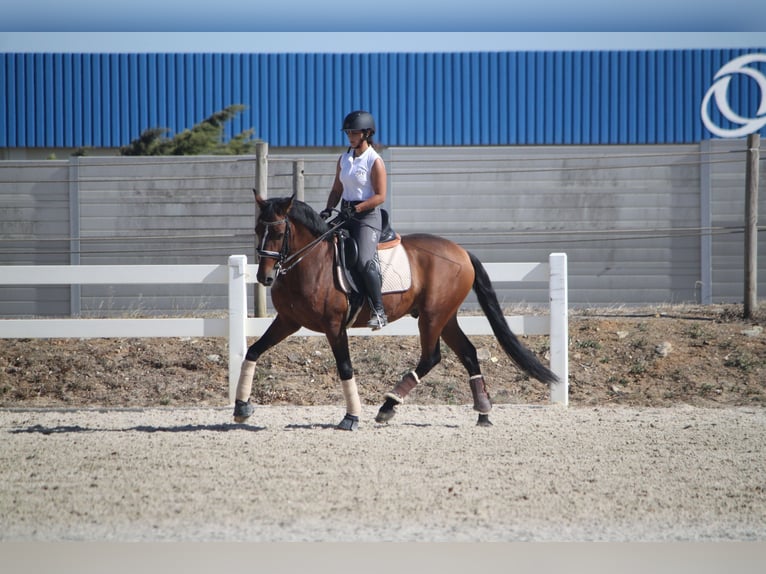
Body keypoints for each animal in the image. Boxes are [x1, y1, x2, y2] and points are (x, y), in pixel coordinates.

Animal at [234, 196, 560, 430]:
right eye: (257, 230)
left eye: (278, 232)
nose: (264, 277)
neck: (310, 263)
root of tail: (462, 252)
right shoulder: (288, 321)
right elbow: (253, 350)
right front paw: (241, 407)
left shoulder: (334, 325)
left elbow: (345, 368)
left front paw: (351, 418)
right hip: (445, 317)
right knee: (468, 353)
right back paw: (483, 413)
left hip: (432, 317)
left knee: (432, 357)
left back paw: (388, 406)